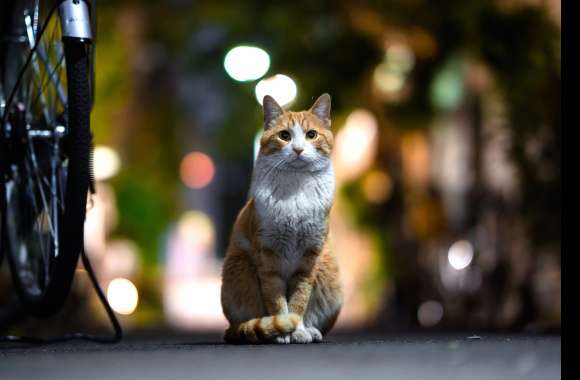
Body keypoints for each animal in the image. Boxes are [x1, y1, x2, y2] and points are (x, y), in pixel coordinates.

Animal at [220, 93, 342, 342]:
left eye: (311, 135)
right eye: (284, 136)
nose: (298, 149)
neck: (296, 187)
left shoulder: (309, 257)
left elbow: (299, 299)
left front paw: (299, 330)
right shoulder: (268, 256)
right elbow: (276, 299)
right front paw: (283, 329)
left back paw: (312, 329)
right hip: (240, 267)